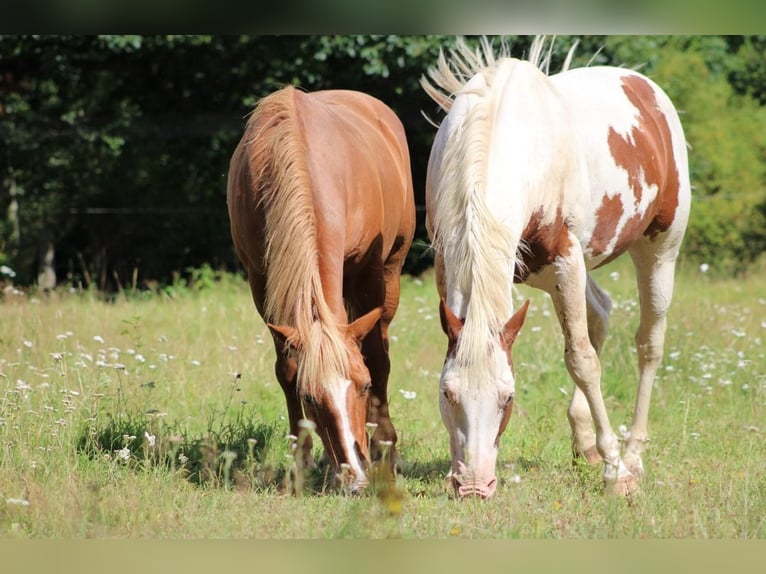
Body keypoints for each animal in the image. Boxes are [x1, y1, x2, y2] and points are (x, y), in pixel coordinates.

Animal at [228, 85, 416, 490]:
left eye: (363, 386)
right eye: (310, 399)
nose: (356, 479)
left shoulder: (370, 271)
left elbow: (375, 358)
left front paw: (386, 450)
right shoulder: (260, 281)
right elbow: (286, 369)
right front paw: (301, 460)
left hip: (390, 272)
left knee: (382, 348)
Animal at [424, 38, 692, 502]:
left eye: (508, 397)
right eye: (447, 393)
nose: (474, 486)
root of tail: (647, 89)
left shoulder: (566, 261)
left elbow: (582, 360)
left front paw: (616, 472)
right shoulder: (449, 261)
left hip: (658, 250)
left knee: (648, 344)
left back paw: (633, 456)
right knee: (600, 312)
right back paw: (585, 444)